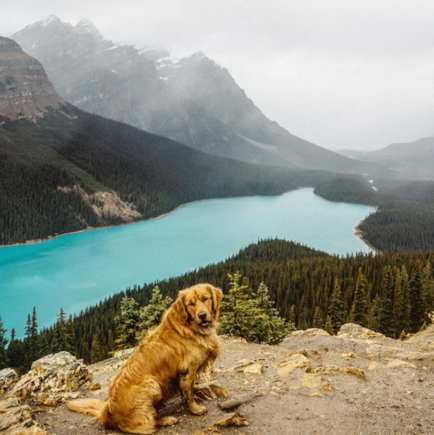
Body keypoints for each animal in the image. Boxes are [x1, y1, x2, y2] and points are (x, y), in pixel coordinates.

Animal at [68, 284, 224, 434]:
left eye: (205, 298)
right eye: (191, 304)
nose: (202, 315)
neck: (189, 327)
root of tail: (105, 414)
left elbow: (188, 389)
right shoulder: (188, 370)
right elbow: (188, 393)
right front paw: (195, 409)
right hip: (152, 384)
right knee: (149, 422)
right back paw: (166, 419)